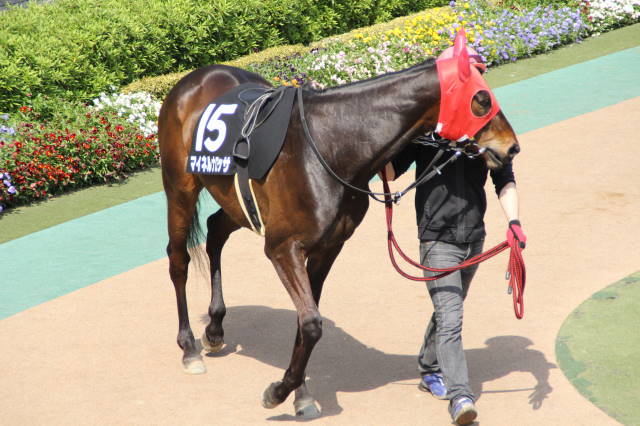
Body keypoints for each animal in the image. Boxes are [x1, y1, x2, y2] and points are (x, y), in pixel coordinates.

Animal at [157, 55, 520, 417]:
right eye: (481, 99)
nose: (512, 147)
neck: (330, 145)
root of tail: (193, 79)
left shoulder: (327, 248)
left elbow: (306, 321)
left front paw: (300, 394)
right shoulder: (282, 248)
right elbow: (311, 322)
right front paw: (279, 391)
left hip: (238, 202)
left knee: (216, 231)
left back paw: (214, 328)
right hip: (180, 190)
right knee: (179, 259)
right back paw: (189, 347)